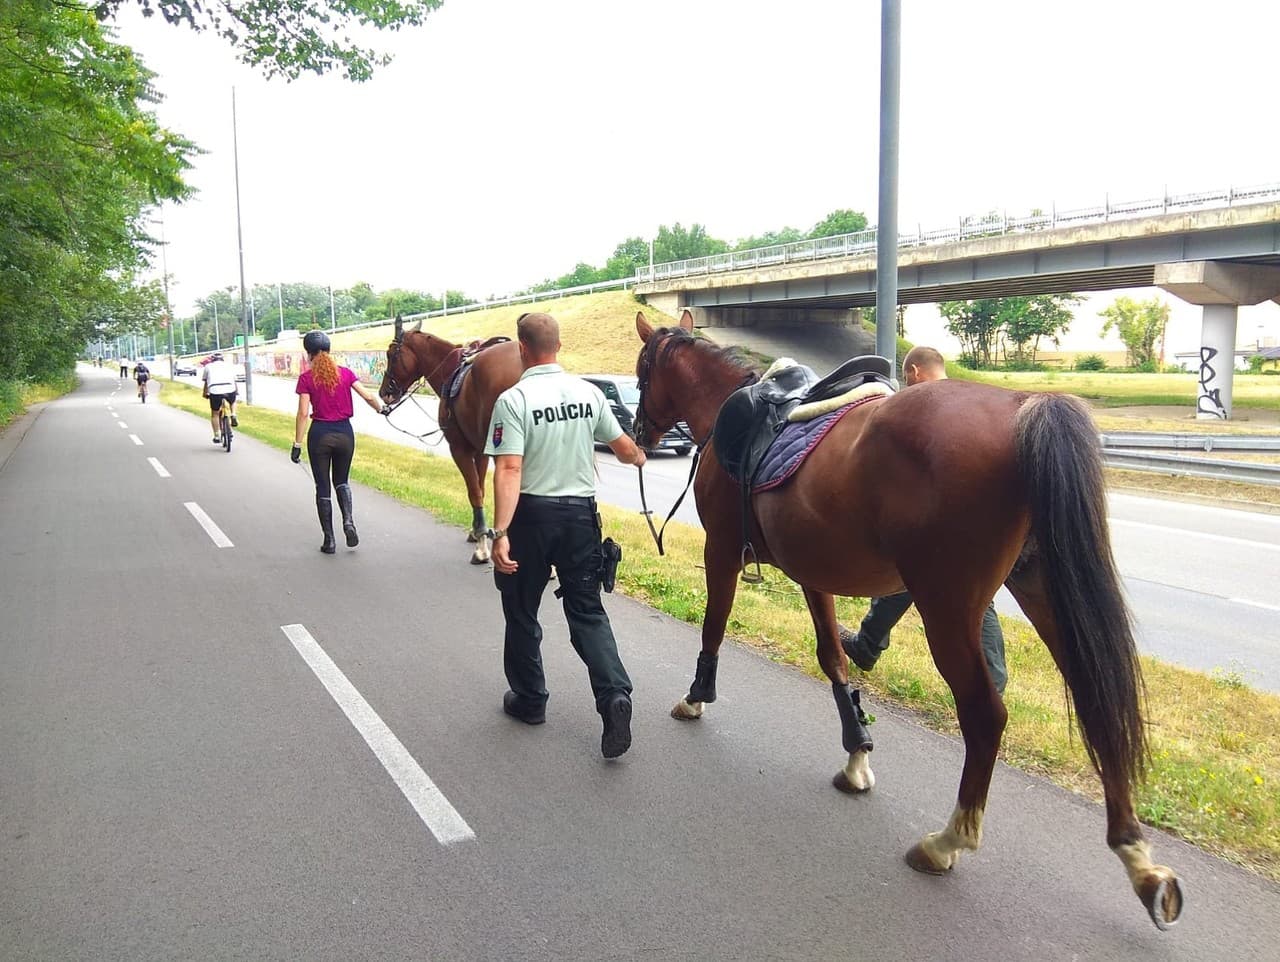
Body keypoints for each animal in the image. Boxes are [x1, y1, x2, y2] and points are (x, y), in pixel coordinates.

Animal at [376, 317, 522, 562]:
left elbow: (474, 491)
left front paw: (481, 545)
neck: (449, 371)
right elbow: (481, 488)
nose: (384, 392)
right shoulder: (480, 450)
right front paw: (477, 531)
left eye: (391, 354)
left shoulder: (459, 448)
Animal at [634, 312, 1182, 926]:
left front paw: (696, 696)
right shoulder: (813, 572)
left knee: (986, 715)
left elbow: (715, 625)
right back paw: (1138, 858)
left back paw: (948, 840)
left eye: (642, 368)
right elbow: (832, 659)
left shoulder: (722, 551)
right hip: (1042, 592)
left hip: (948, 607)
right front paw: (856, 752)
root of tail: (1023, 406)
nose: (640, 431)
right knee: (1097, 704)